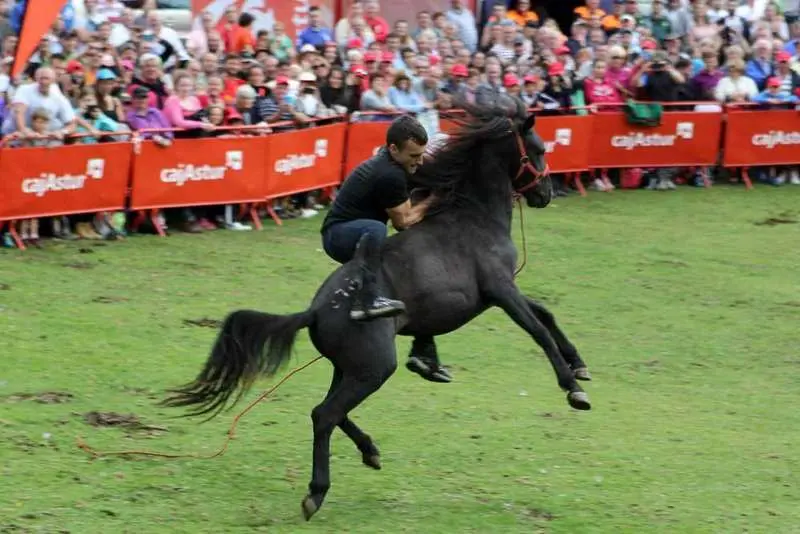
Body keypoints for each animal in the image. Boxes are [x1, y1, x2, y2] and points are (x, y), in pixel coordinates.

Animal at [163, 98, 592, 521]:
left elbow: (546, 315)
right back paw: (316, 492)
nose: (545, 193)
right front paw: (573, 390)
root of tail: (316, 311)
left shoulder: (500, 292)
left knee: (326, 412)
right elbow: (538, 330)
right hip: (374, 367)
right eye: (539, 149)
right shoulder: (501, 290)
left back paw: (370, 448)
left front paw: (579, 366)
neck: (474, 217)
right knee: (325, 415)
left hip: (350, 368)